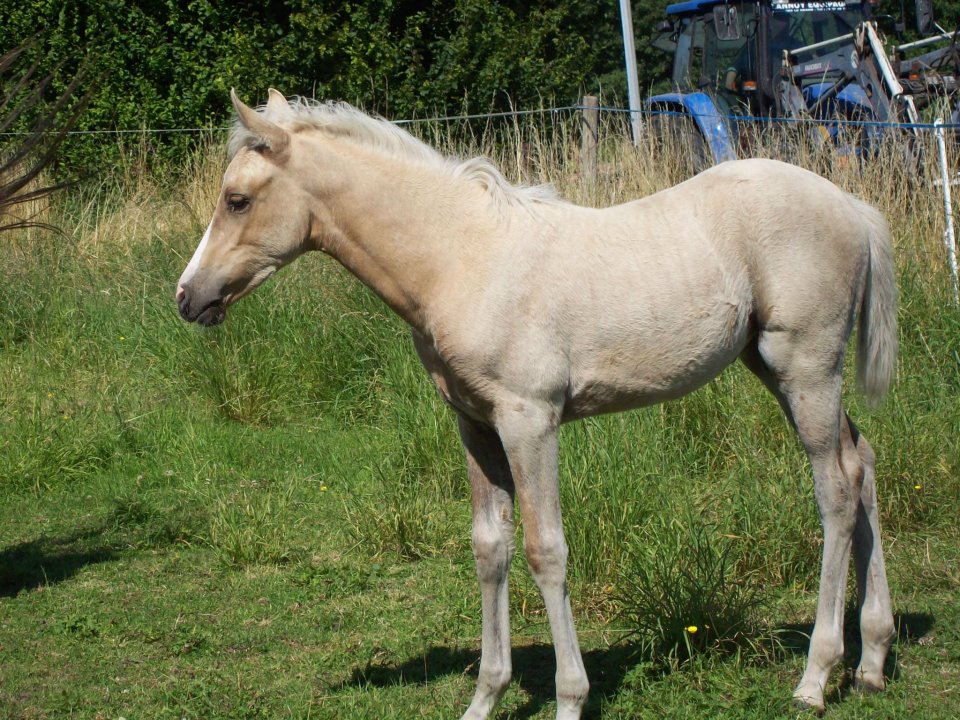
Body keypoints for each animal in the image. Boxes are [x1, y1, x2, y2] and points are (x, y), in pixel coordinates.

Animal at [178, 91, 900, 720]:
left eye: (237, 200)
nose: (188, 297)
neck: (460, 257)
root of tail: (849, 203)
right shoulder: (475, 424)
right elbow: (489, 548)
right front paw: (485, 697)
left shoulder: (530, 421)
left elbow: (545, 550)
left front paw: (570, 700)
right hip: (780, 370)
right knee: (862, 462)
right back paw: (871, 660)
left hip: (806, 368)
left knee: (835, 492)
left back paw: (816, 677)